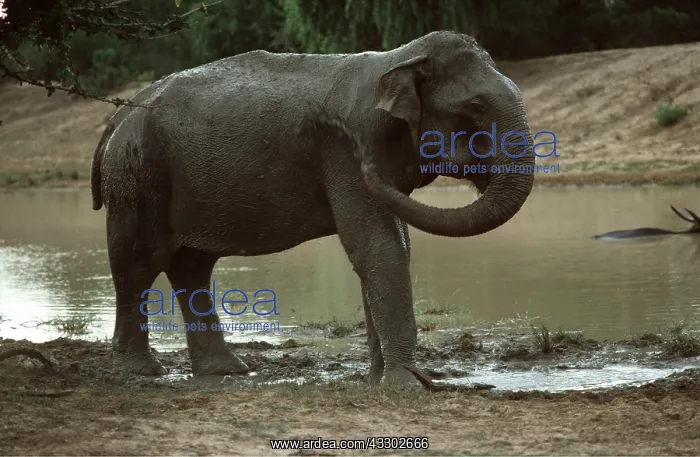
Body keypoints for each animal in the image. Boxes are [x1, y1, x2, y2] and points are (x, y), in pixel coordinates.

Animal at [90, 30, 536, 386]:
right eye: (476, 108)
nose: (331, 126)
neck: (398, 59)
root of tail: (118, 115)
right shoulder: (343, 154)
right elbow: (378, 247)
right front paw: (406, 384)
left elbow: (392, 246)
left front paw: (377, 380)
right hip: (137, 175)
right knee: (138, 262)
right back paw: (142, 372)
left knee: (192, 265)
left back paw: (226, 371)